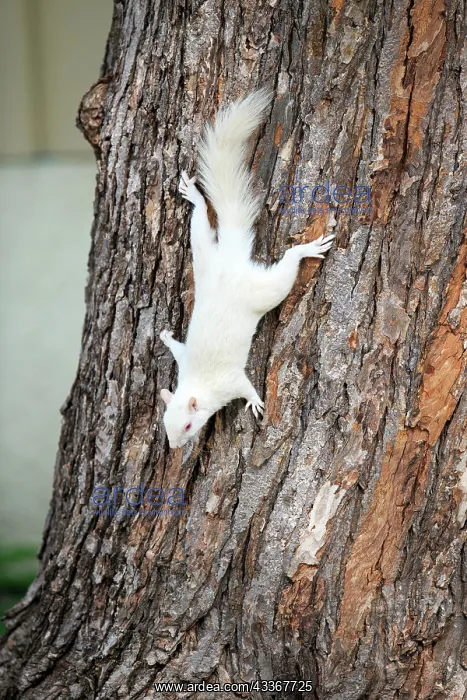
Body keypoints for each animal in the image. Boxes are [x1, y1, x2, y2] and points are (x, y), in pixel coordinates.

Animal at [160, 89, 335, 448]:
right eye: (165, 423)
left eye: (188, 425)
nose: (175, 447)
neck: (197, 383)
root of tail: (230, 260)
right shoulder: (185, 360)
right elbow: (177, 348)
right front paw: (166, 336)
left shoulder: (229, 381)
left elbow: (246, 386)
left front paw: (255, 402)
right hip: (204, 256)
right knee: (201, 221)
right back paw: (195, 197)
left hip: (262, 291)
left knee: (287, 266)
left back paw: (307, 250)